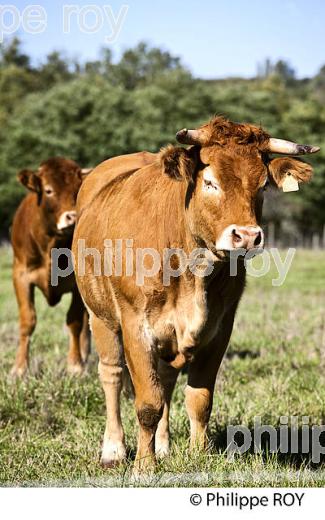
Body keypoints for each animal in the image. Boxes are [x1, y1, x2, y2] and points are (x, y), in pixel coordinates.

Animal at [11, 156, 90, 376]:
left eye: (77, 189)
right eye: (48, 190)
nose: (72, 217)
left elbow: (75, 321)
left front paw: (75, 365)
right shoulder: (21, 275)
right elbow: (27, 321)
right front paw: (19, 367)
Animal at [72, 118, 318, 472]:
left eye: (261, 186)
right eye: (210, 182)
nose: (247, 236)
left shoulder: (219, 329)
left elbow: (198, 399)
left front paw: (197, 454)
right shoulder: (135, 326)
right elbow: (147, 402)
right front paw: (144, 466)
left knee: (166, 381)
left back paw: (163, 446)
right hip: (100, 316)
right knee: (112, 375)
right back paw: (114, 449)